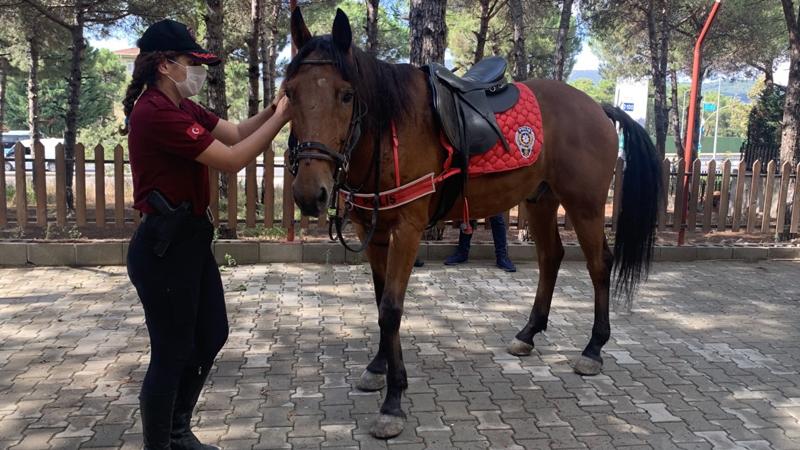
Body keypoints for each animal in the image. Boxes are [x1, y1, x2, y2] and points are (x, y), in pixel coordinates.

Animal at [284, 7, 660, 440]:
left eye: (346, 94)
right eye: (290, 92)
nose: (310, 193)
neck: (390, 128)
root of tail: (598, 107)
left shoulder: (408, 229)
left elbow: (391, 309)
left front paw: (393, 401)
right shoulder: (372, 230)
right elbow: (380, 301)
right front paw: (378, 367)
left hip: (585, 206)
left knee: (599, 265)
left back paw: (593, 349)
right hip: (541, 200)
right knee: (551, 257)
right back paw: (529, 333)